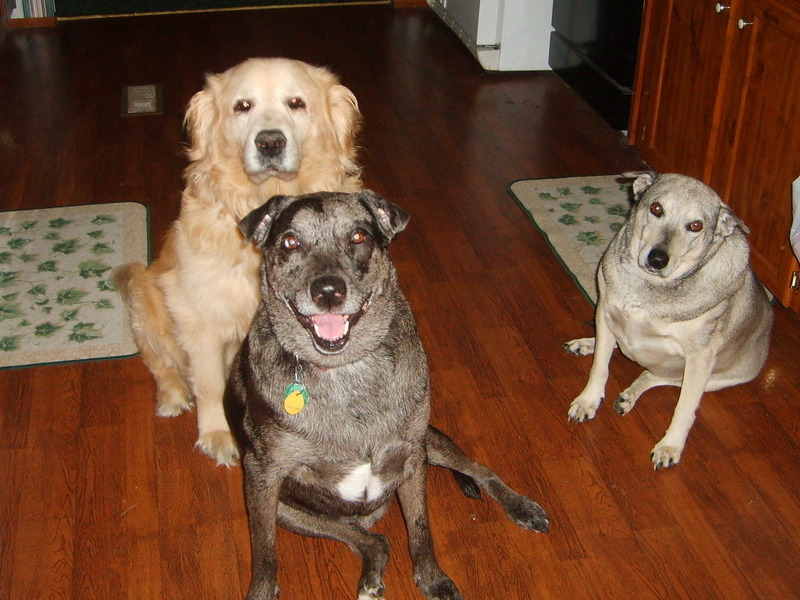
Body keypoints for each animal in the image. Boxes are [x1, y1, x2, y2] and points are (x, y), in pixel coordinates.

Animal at [225, 191, 552, 600]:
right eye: (290, 242)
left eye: (359, 237)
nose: (328, 291)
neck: (345, 370)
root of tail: (371, 515)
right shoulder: (262, 476)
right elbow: (265, 553)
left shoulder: (411, 455)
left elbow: (420, 530)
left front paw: (433, 578)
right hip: (288, 510)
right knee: (373, 540)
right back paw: (369, 577)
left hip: (431, 443)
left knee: (480, 469)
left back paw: (521, 506)